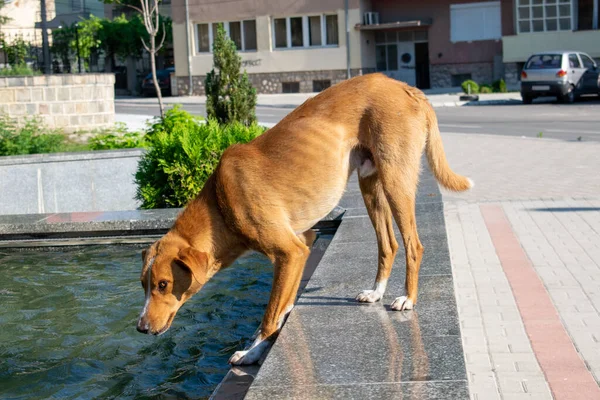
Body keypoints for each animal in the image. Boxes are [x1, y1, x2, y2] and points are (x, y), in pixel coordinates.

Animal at [136, 74, 474, 366]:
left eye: (164, 284)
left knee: (414, 245)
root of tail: (404, 86)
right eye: (144, 285)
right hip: (370, 184)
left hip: (396, 181)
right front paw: (263, 344)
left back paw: (407, 298)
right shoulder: (303, 245)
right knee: (388, 245)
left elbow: (270, 315)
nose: (140, 328)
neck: (221, 202)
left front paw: (252, 353)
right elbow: (282, 306)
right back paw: (376, 292)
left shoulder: (290, 252)